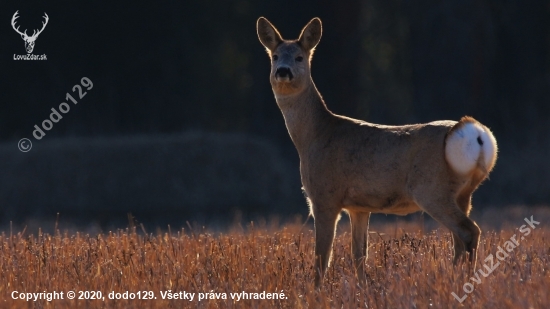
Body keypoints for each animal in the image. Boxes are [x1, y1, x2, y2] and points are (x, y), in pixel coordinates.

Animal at [258, 17, 500, 286]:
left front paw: (316, 290)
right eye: (275, 56)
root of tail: (472, 131)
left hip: (431, 189)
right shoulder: (359, 206)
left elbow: (322, 257)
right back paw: (456, 275)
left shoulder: (324, 197)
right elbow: (359, 254)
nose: (283, 71)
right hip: (463, 193)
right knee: (459, 238)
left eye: (299, 57)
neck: (313, 135)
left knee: (468, 231)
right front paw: (363, 287)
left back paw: (461, 278)